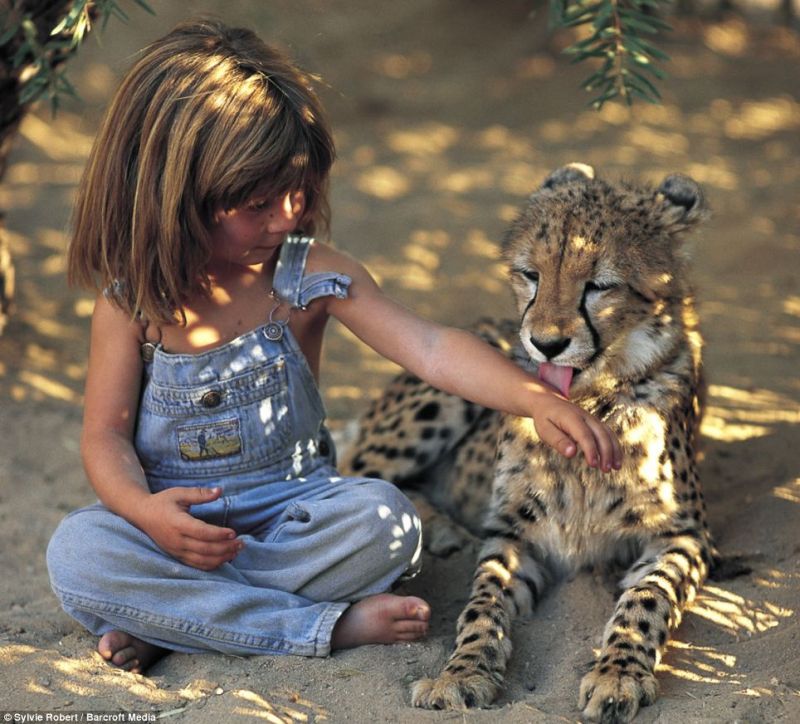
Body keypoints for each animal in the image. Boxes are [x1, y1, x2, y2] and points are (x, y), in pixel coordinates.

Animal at [340, 165, 716, 724]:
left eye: (599, 285)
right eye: (530, 275)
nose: (546, 343)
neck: (587, 406)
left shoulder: (684, 536)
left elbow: (648, 598)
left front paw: (619, 673)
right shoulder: (513, 533)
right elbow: (482, 603)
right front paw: (462, 673)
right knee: (352, 473)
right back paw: (440, 530)